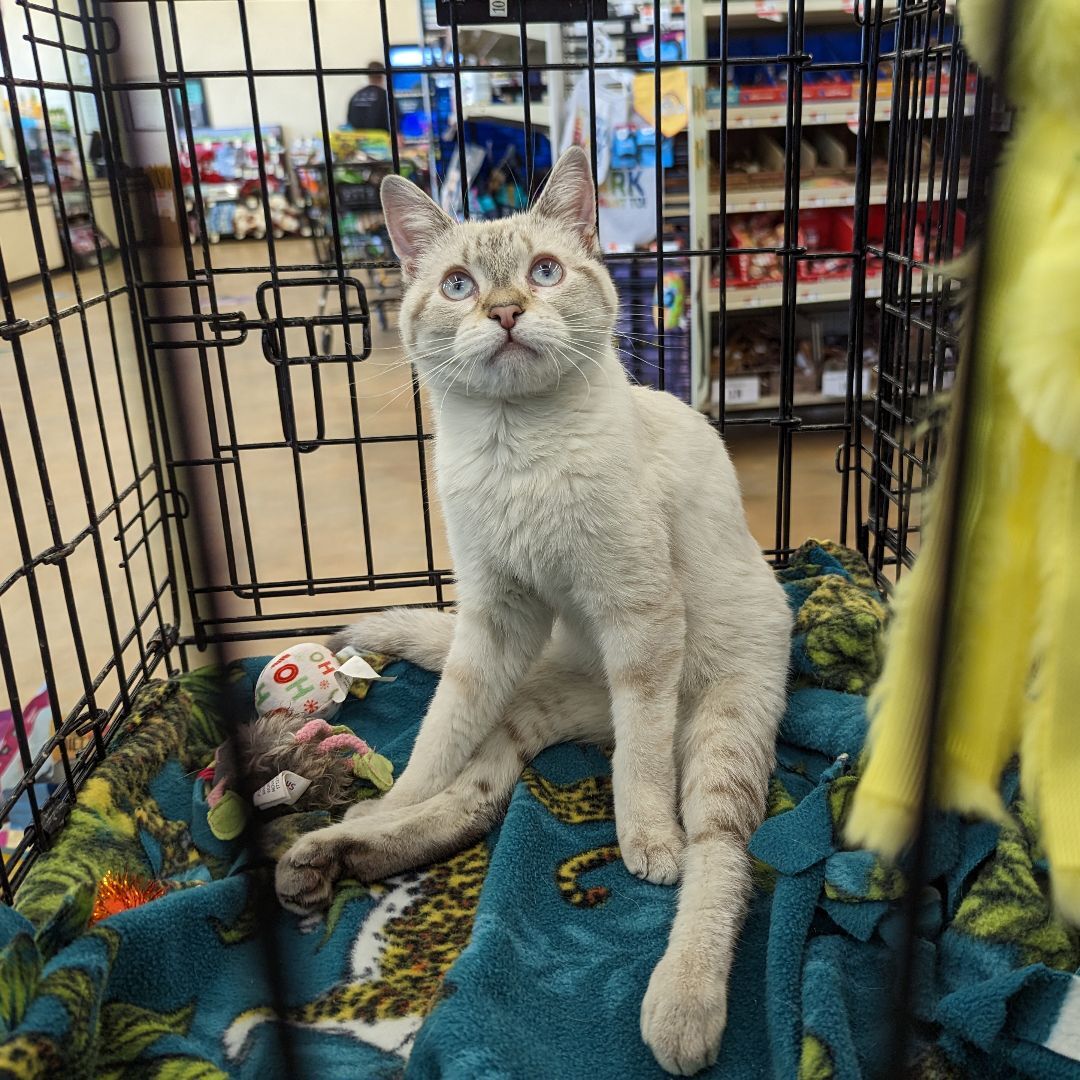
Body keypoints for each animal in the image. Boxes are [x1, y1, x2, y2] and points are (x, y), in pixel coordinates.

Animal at [274, 147, 790, 1075]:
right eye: (458, 285)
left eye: (545, 272)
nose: (508, 311)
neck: (516, 452)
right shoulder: (494, 619)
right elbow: (435, 740)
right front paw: (390, 798)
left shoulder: (639, 618)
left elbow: (644, 770)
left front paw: (644, 839)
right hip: (526, 698)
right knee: (474, 799)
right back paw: (334, 850)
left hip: (721, 721)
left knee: (718, 849)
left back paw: (683, 1001)